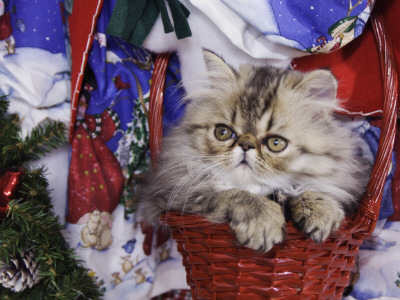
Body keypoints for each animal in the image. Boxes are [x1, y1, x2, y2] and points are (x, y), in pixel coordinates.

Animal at [138, 51, 372, 251]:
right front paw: (264, 223)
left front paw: (323, 212)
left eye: (276, 143)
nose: (245, 145)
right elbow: (235, 195)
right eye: (223, 132)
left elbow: (306, 187)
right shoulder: (177, 194)